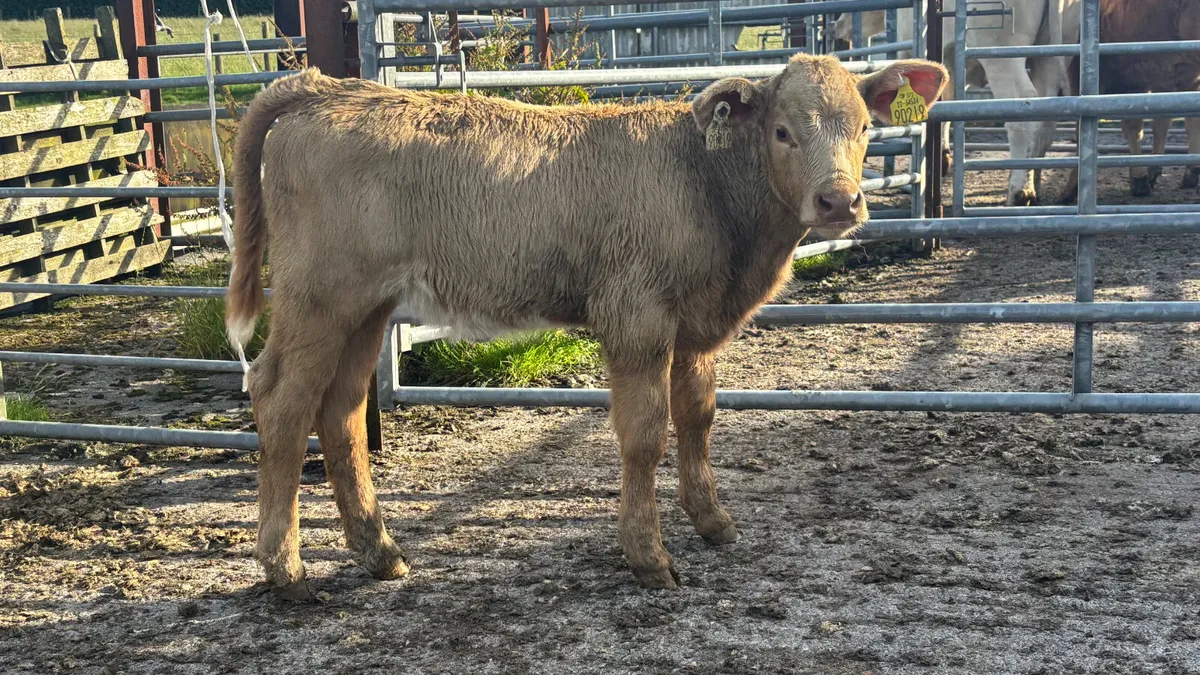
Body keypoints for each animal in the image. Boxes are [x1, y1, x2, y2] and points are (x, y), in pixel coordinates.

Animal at [224, 55, 948, 599]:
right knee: (281, 399)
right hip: (318, 297)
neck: (706, 184)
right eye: (782, 132)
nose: (839, 201)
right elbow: (645, 434)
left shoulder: (696, 324)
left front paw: (712, 520)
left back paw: (379, 550)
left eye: (864, 126)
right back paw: (285, 568)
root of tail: (329, 88)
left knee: (341, 410)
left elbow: (698, 416)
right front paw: (648, 554)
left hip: (365, 308)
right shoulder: (637, 314)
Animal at [834, 0, 1076, 206]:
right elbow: (946, 107)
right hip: (1046, 56)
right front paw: (942, 158)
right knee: (1045, 118)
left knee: (1023, 107)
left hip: (1002, 57)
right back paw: (1035, 181)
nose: (838, 25)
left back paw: (1019, 191)